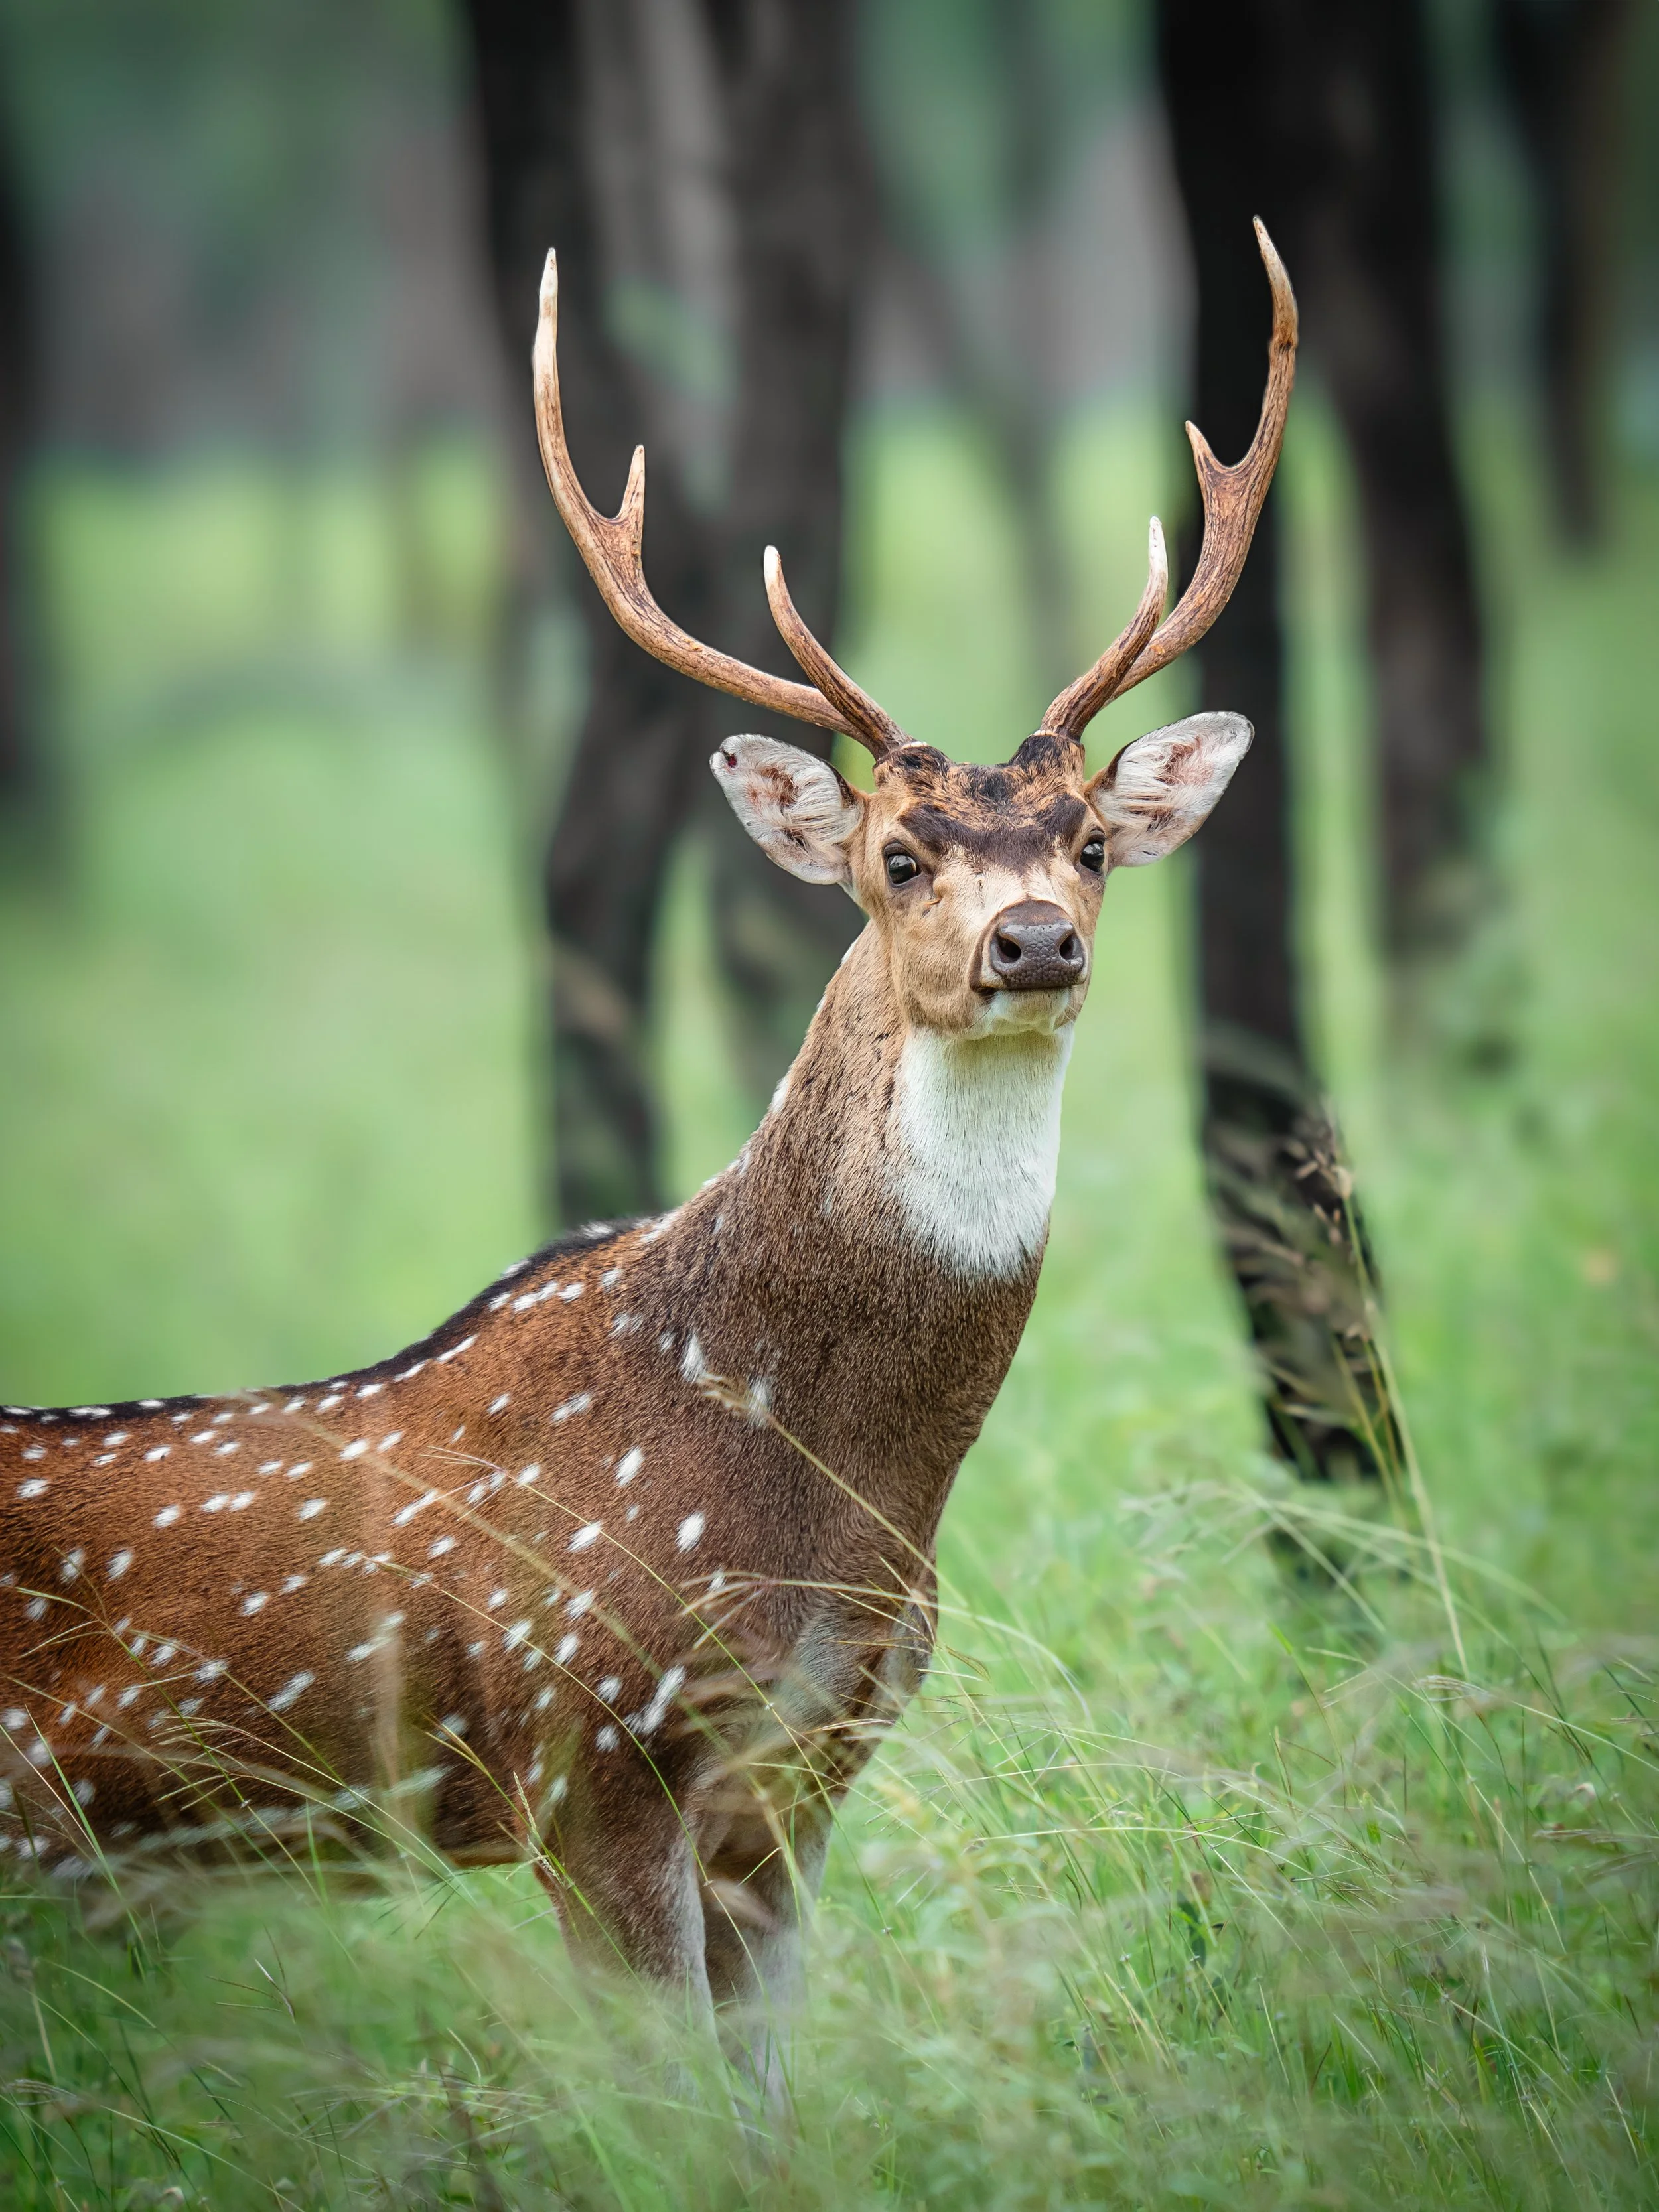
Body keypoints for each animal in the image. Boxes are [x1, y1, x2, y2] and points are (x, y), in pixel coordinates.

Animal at [0, 222, 1294, 2098]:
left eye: (1091, 841)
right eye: (899, 854)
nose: (1036, 940)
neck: (822, 1492)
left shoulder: (803, 1774)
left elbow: (762, 2110)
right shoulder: (579, 1741)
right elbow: (670, 2105)